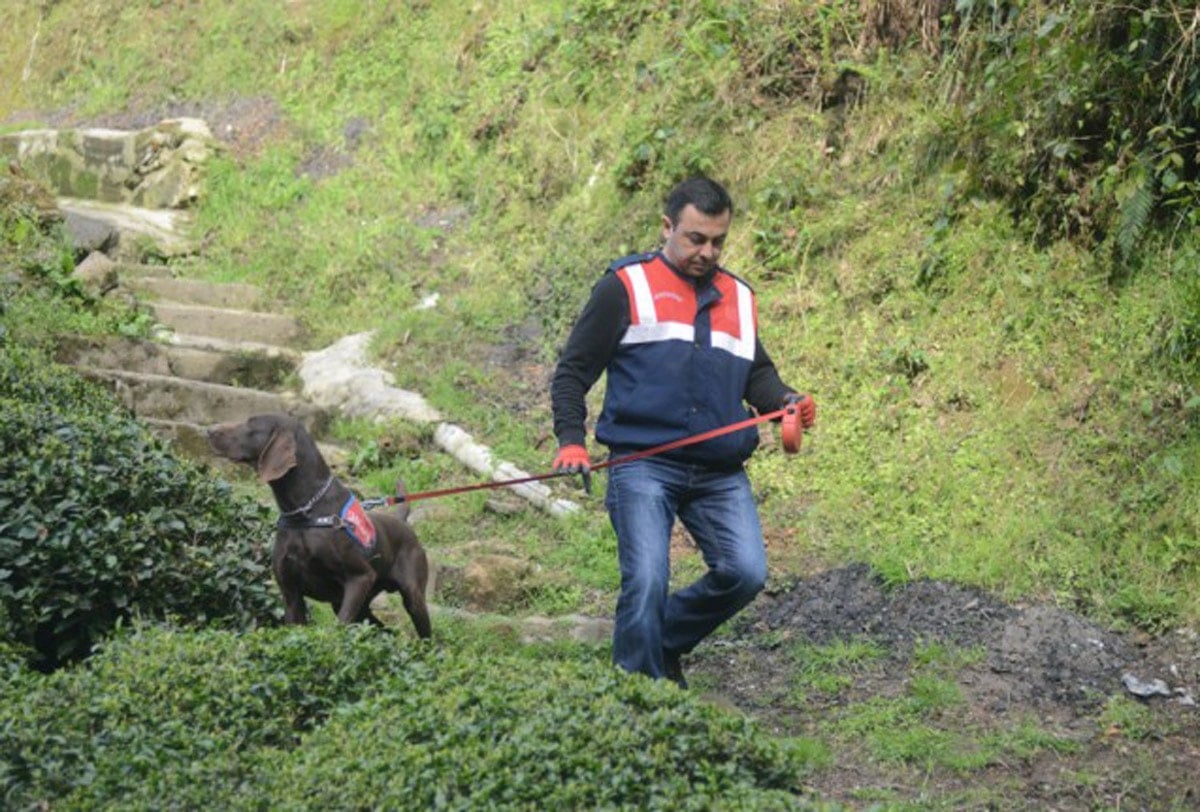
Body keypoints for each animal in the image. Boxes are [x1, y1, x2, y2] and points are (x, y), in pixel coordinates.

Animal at [207, 413, 432, 638]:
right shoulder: (291, 594)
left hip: (412, 597)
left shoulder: (360, 577)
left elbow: (339, 627)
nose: (209, 430)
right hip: (356, 607)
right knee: (385, 631)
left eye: (250, 424)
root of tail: (401, 520)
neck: (304, 512)